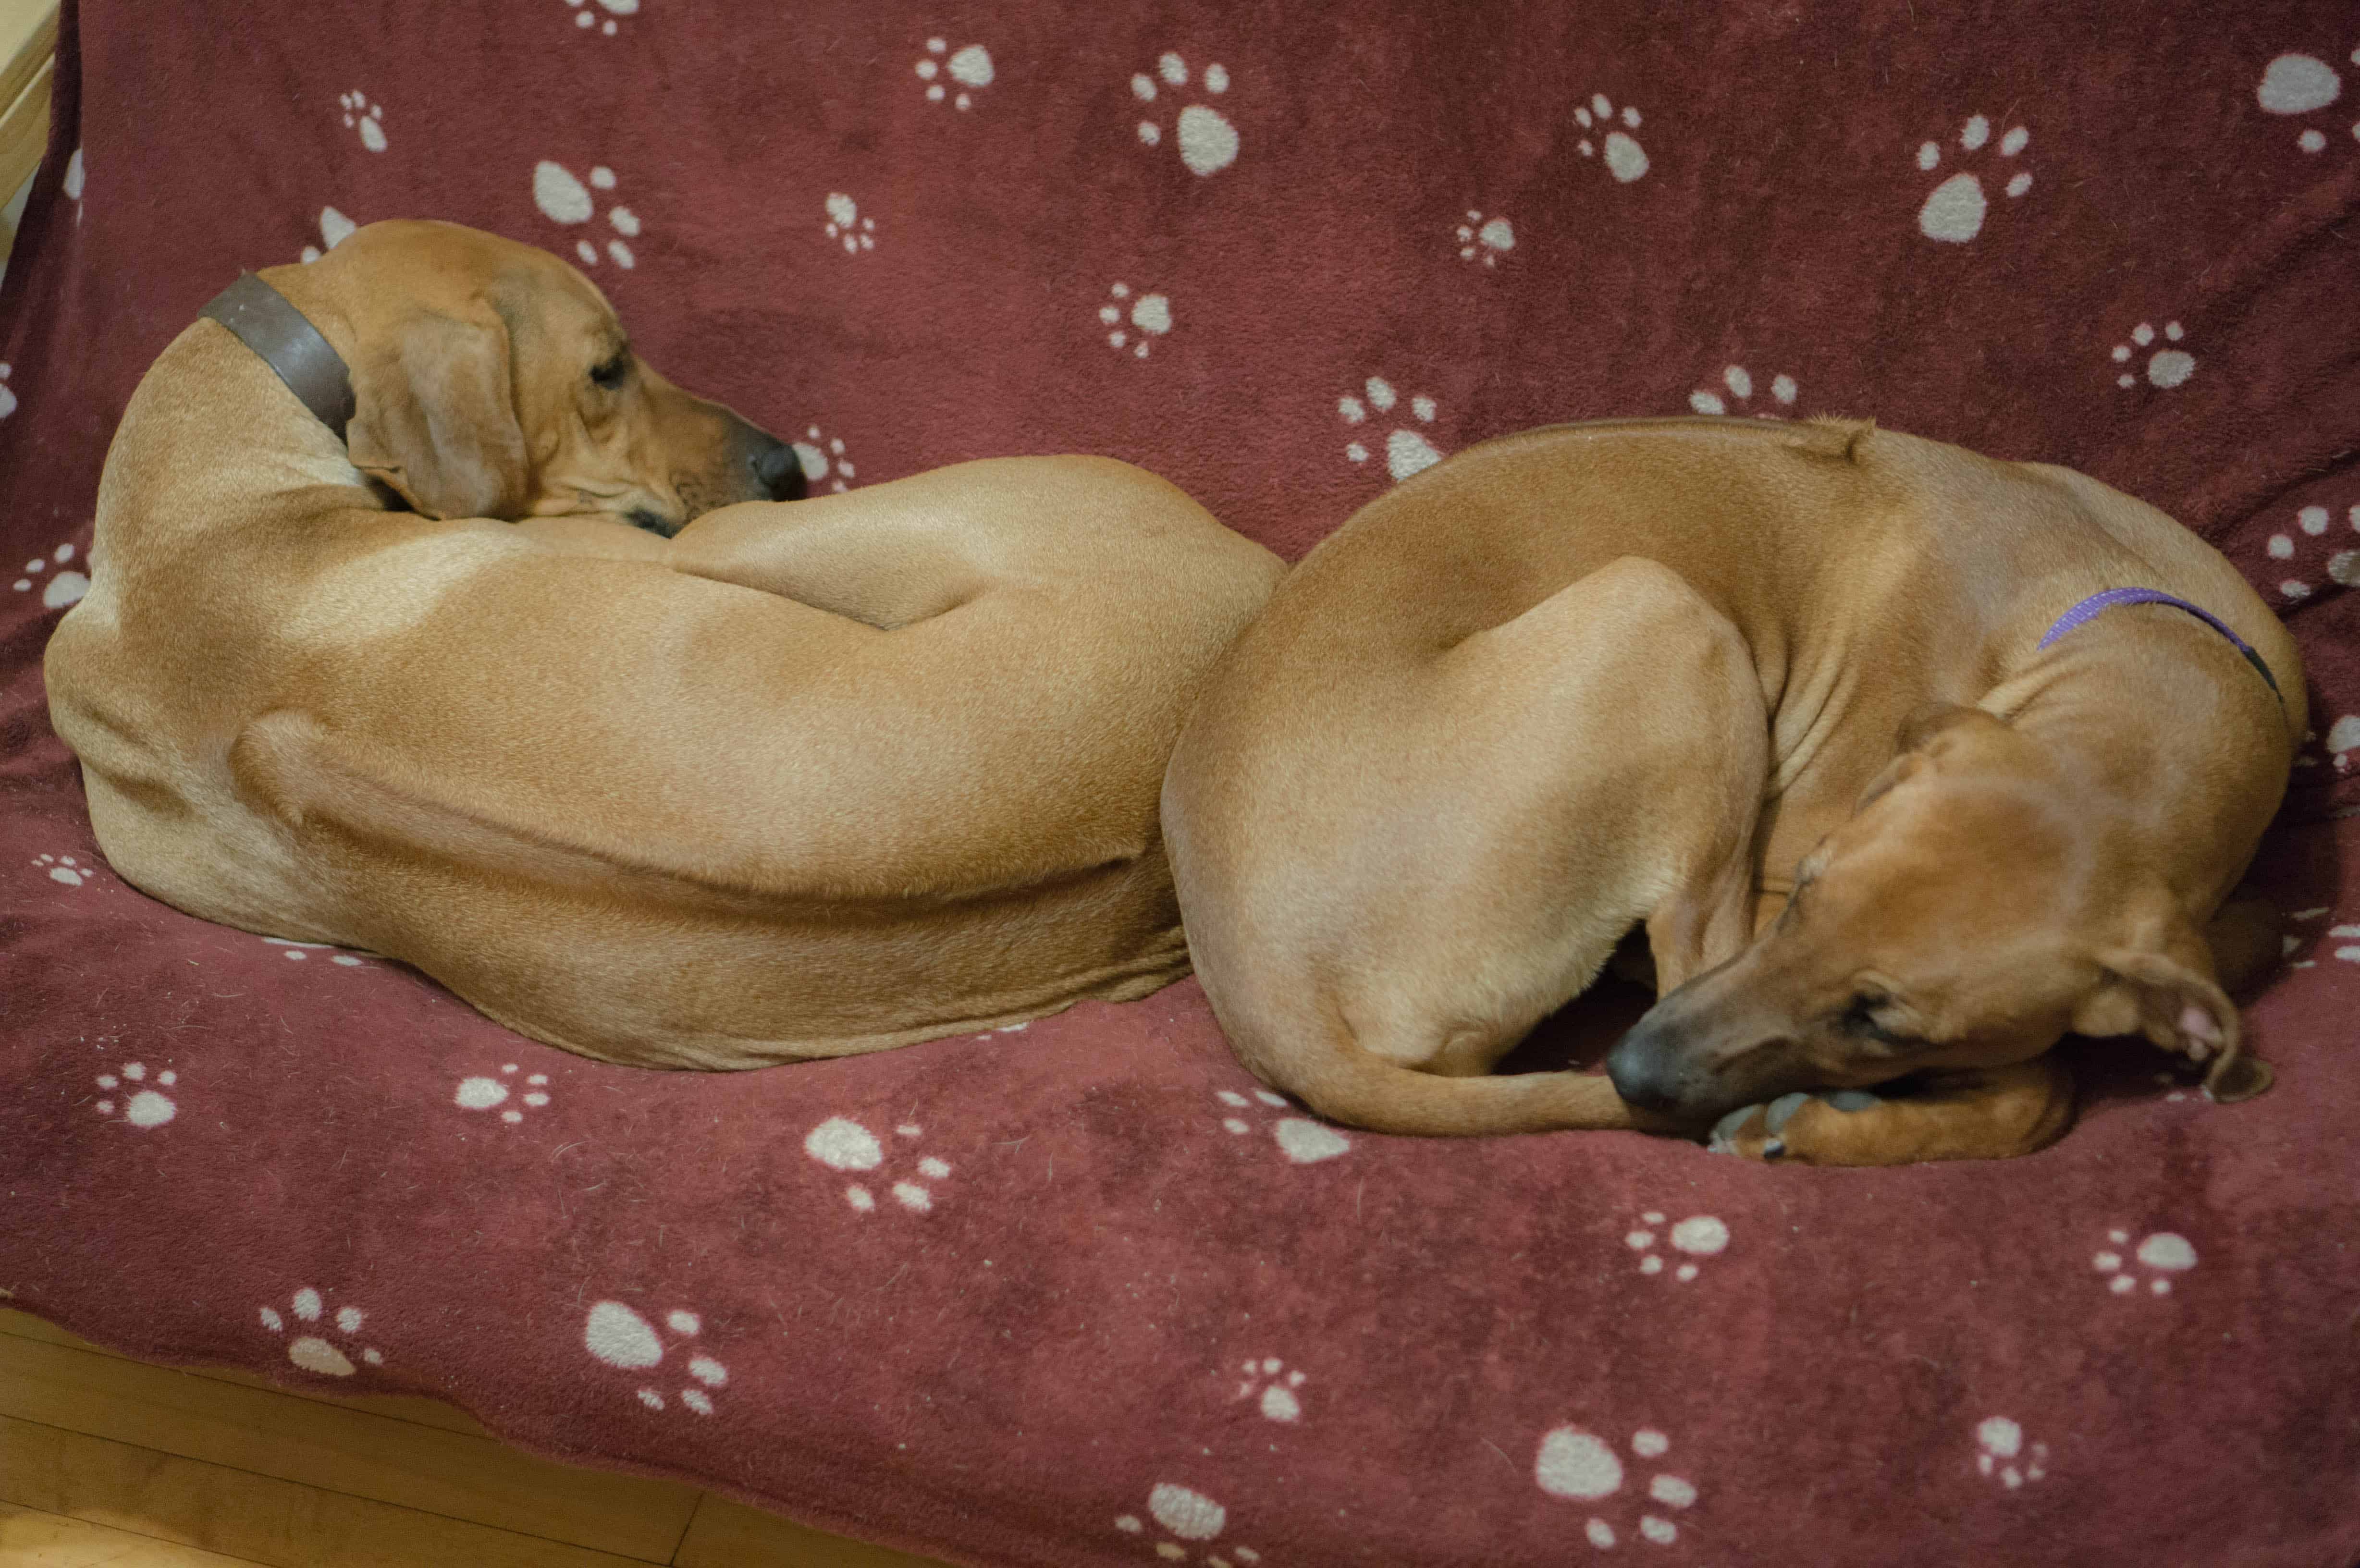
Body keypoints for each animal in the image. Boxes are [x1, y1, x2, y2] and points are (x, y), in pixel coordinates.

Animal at [1161, 416, 2303, 1162]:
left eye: (1883, 1020)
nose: (1634, 1072)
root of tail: (1272, 996)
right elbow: (2043, 1083)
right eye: (1804, 890)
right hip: (1662, 614)